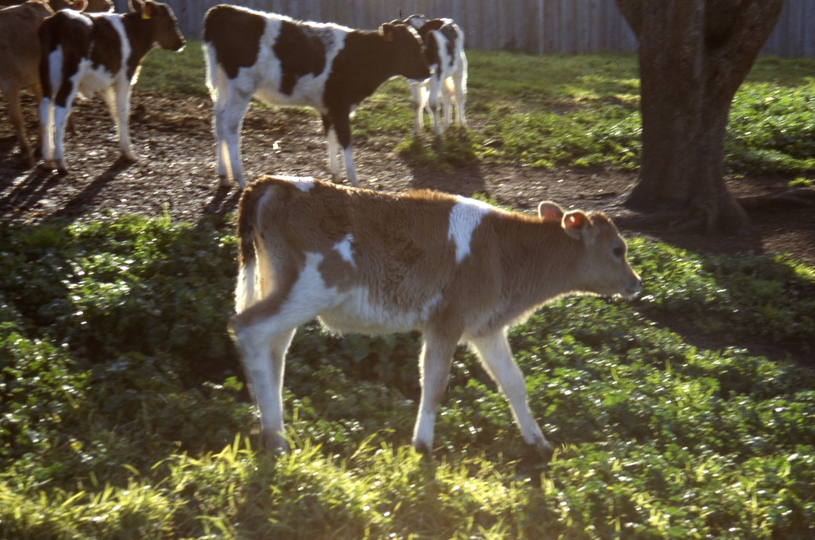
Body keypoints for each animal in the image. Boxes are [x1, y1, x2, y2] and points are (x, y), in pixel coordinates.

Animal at [38, 0, 185, 173]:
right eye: (172, 21)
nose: (182, 42)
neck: (133, 32)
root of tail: (60, 16)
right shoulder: (124, 76)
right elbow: (123, 111)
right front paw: (128, 152)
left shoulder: (108, 82)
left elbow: (114, 111)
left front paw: (122, 148)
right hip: (70, 77)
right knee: (60, 109)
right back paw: (60, 162)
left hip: (47, 77)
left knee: (46, 109)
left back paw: (47, 160)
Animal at [202, 4, 434, 189]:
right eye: (411, 49)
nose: (429, 72)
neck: (358, 55)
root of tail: (221, 9)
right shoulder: (340, 106)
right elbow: (345, 139)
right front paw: (354, 180)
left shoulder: (328, 106)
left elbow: (330, 136)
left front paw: (336, 175)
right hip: (241, 87)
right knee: (231, 125)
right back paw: (240, 180)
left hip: (224, 86)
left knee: (218, 119)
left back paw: (224, 176)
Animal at [230, 176, 644, 456]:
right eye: (618, 249)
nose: (636, 283)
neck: (505, 251)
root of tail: (274, 183)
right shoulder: (446, 322)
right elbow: (434, 382)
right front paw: (423, 445)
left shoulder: (485, 328)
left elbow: (513, 381)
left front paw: (538, 441)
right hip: (312, 288)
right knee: (249, 329)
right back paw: (275, 440)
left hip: (281, 287)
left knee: (274, 350)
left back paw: (274, 429)